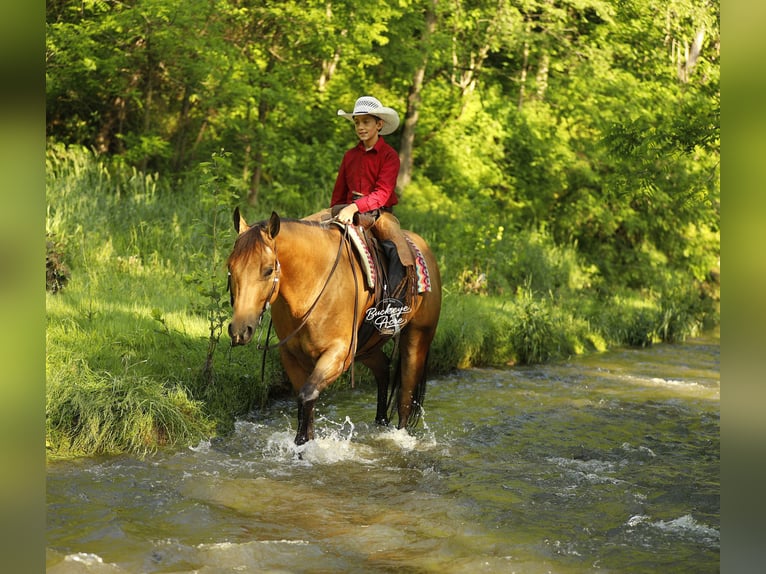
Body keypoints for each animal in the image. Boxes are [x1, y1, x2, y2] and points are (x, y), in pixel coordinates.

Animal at [227, 209, 442, 445]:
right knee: (383, 369)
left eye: (267, 270)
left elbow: (307, 395)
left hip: (417, 340)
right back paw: (380, 422)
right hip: (367, 347)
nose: (239, 330)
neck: (313, 286)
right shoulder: (291, 356)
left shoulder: (338, 355)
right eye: (230, 267)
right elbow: (304, 404)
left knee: (405, 398)